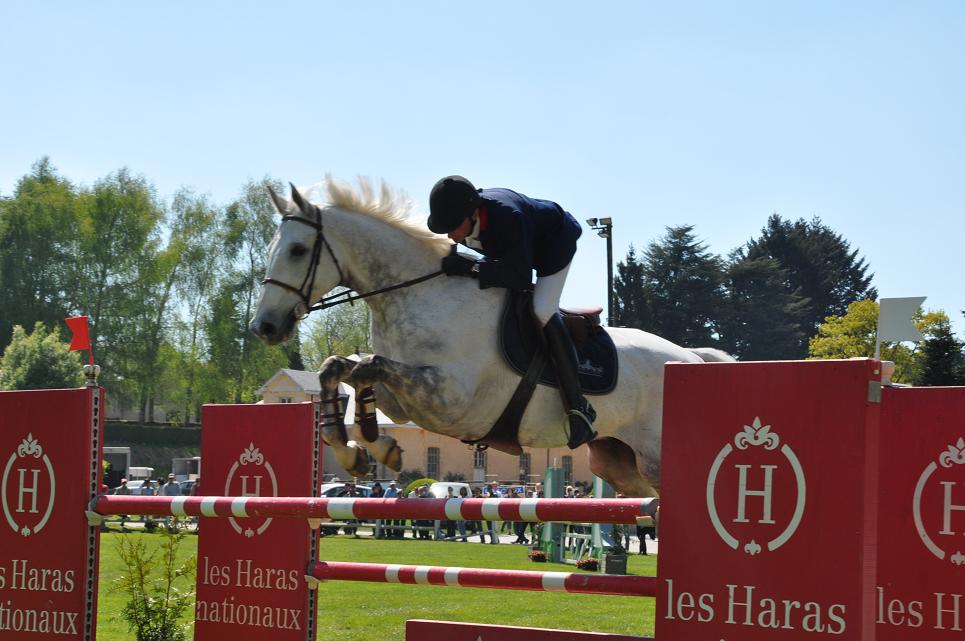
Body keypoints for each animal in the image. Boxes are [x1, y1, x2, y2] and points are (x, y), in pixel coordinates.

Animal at [249, 178, 732, 498]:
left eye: (297, 250)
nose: (264, 327)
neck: (416, 293)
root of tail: (690, 357)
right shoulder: (404, 403)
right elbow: (343, 369)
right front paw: (363, 448)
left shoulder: (450, 401)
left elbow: (370, 366)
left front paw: (369, 447)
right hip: (620, 463)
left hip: (655, 458)